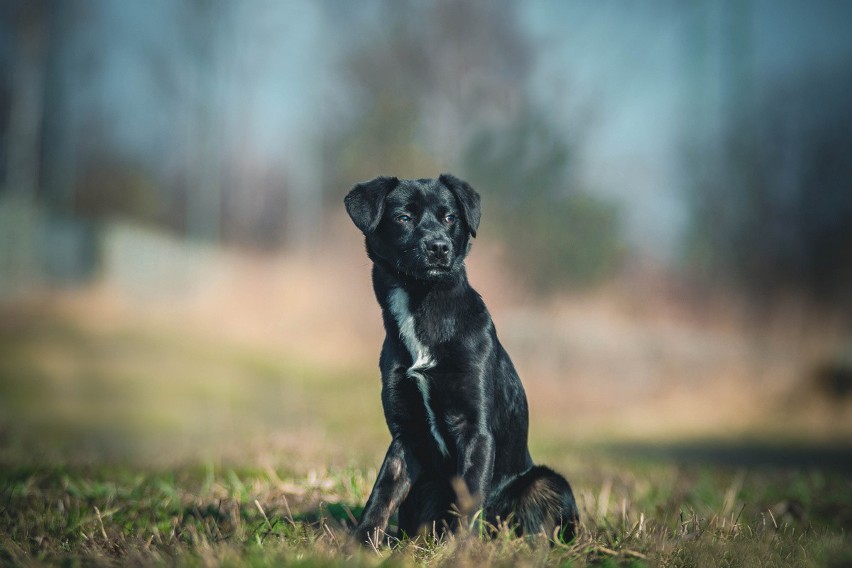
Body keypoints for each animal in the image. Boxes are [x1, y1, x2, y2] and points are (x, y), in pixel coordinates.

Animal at [346, 175, 580, 544]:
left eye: (449, 217)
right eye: (403, 217)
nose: (439, 247)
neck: (421, 302)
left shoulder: (475, 430)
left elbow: (469, 499)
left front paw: (460, 550)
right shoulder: (405, 437)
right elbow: (381, 496)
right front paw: (360, 544)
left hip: (547, 482)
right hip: (425, 489)